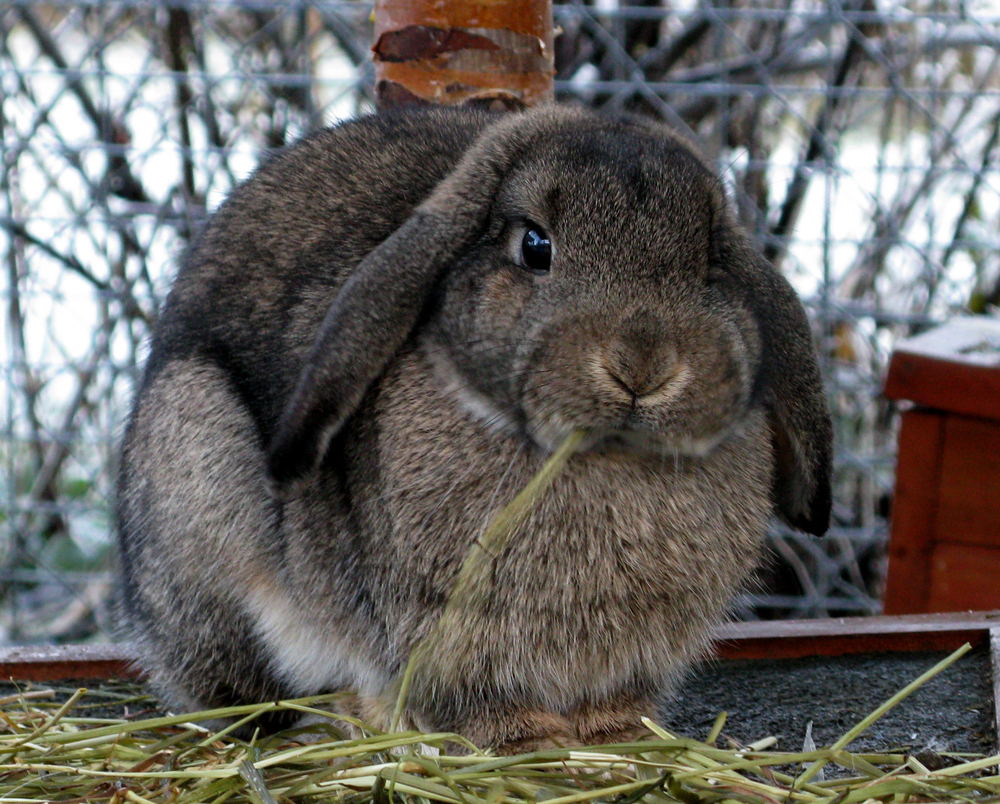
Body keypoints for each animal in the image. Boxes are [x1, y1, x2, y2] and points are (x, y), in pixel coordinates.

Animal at [117, 103, 832, 752]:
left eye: (710, 262)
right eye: (535, 246)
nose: (642, 364)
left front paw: (618, 735)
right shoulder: (445, 630)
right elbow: (473, 696)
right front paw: (521, 739)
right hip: (199, 459)